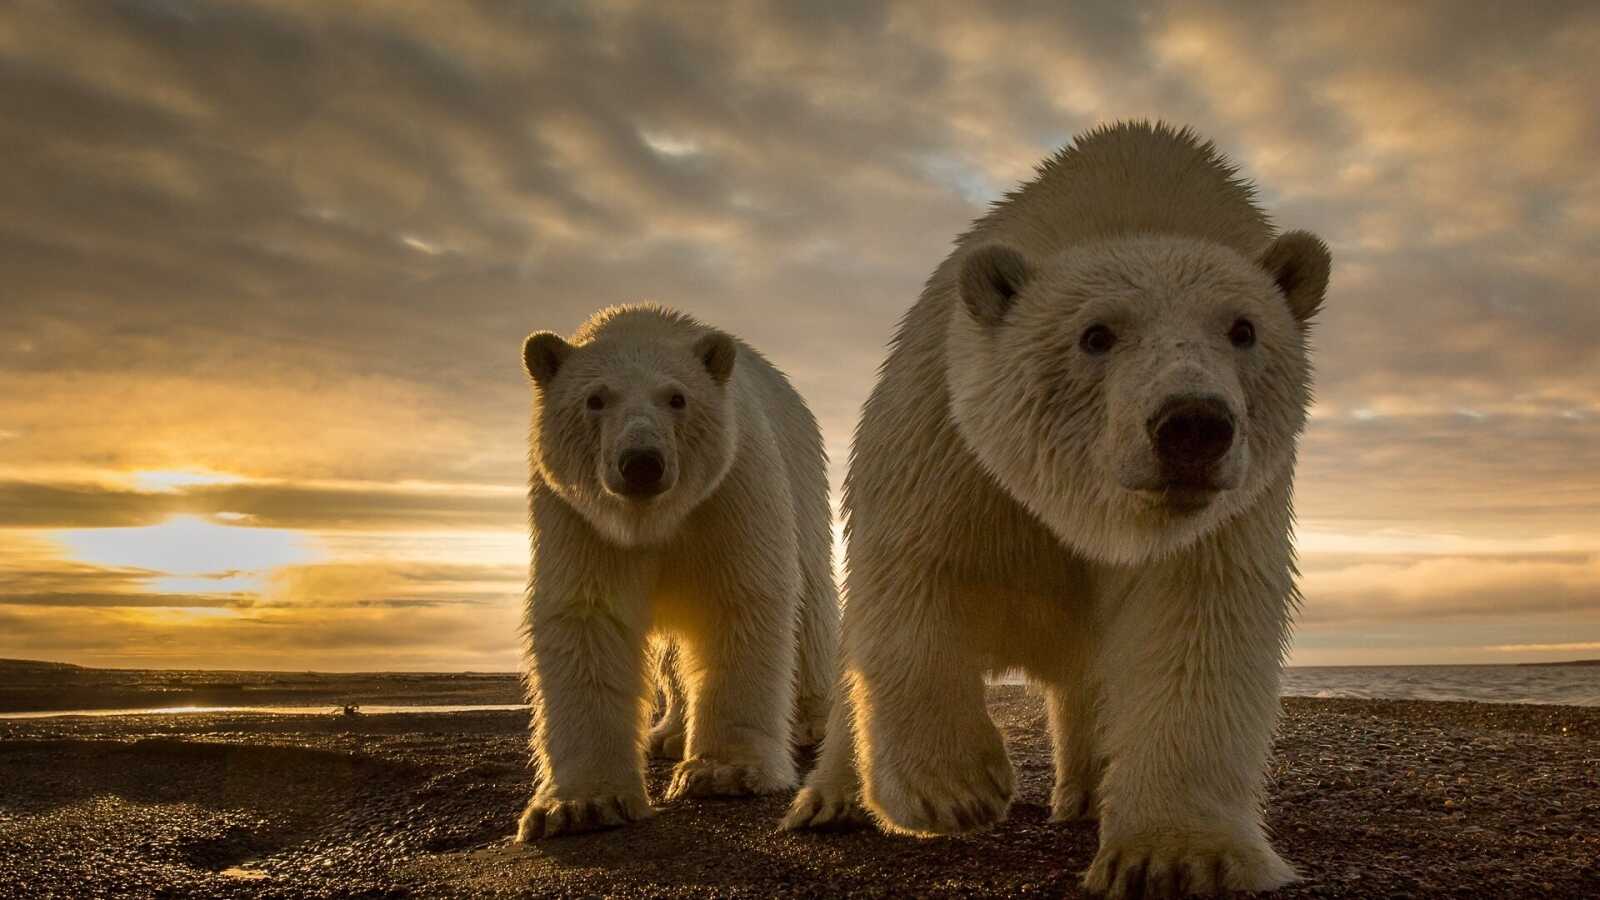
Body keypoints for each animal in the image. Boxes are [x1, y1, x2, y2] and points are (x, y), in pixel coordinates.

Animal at [516, 305, 838, 840]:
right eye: (595, 399)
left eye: (677, 397)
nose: (641, 462)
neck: (653, 519)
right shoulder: (578, 517)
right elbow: (586, 619)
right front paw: (581, 804)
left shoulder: (732, 488)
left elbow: (740, 598)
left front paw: (725, 772)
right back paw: (666, 734)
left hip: (805, 483)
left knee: (811, 602)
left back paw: (811, 721)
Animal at [782, 121, 1329, 899]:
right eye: (1096, 334)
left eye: (1244, 329)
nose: (1193, 425)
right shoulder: (948, 435)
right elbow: (915, 571)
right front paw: (954, 788)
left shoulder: (1225, 512)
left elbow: (1197, 625)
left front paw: (1176, 856)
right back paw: (829, 800)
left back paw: (1087, 792)